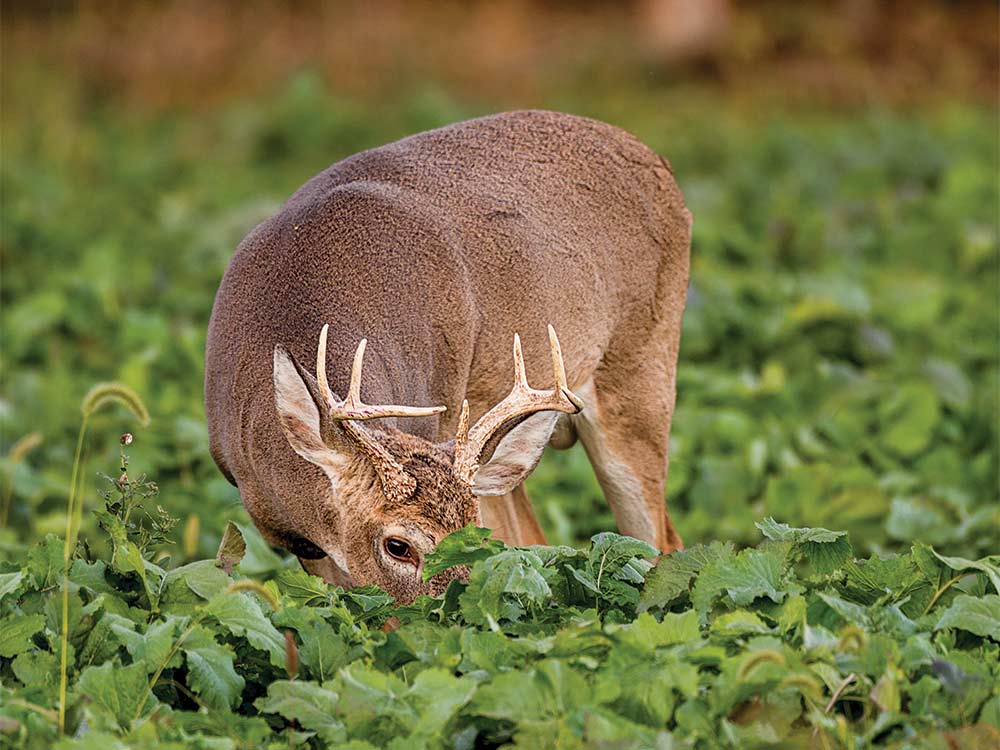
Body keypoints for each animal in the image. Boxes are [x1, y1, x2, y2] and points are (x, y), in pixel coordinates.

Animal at [205, 109, 691, 603]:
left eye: (470, 537)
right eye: (398, 545)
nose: (450, 614)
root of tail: (654, 157)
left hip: (641, 369)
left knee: (661, 541)